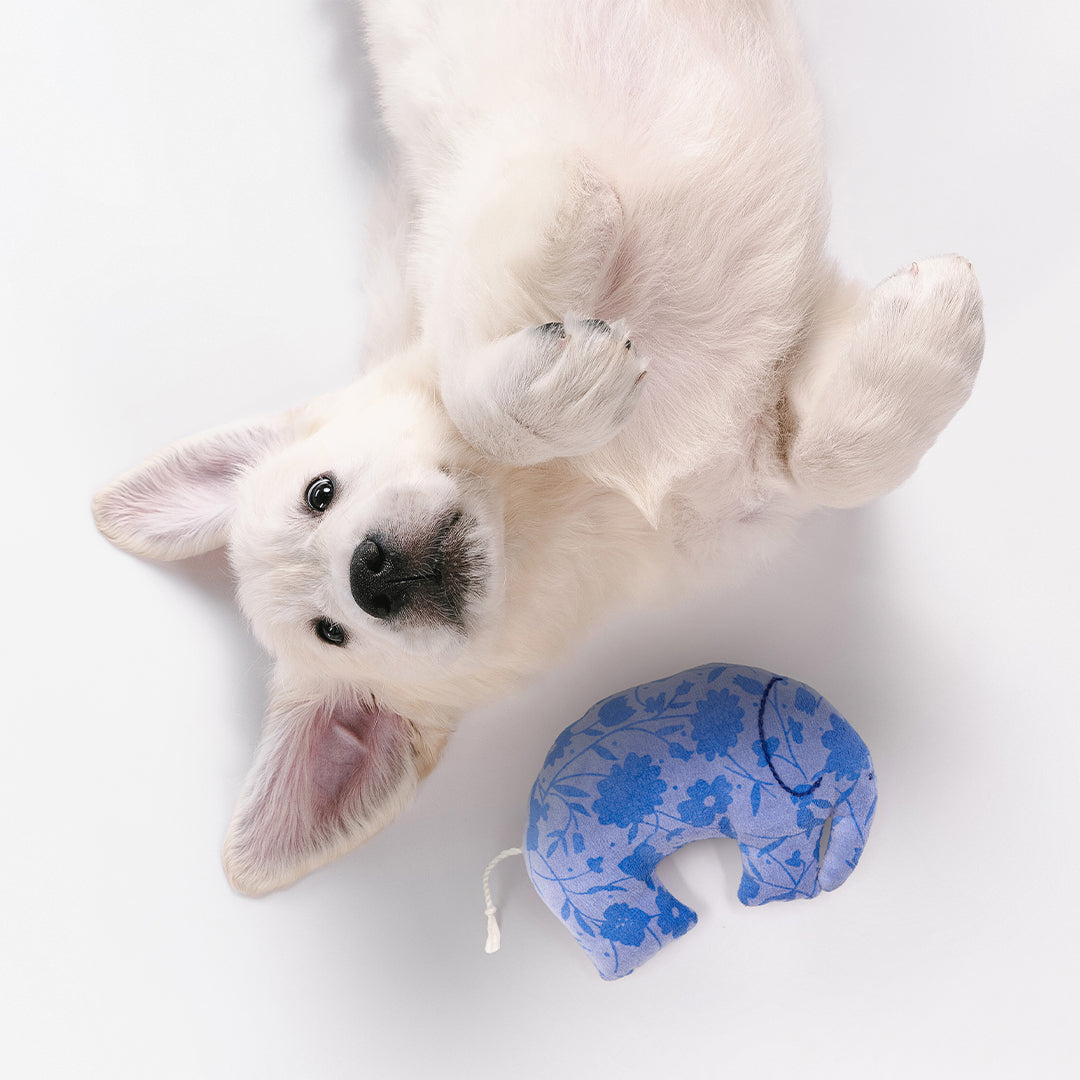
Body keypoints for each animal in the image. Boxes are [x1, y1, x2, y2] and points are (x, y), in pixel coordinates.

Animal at [95, 0, 989, 894]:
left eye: (320, 493)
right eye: (331, 633)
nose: (371, 572)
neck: (570, 491)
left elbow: (478, 352)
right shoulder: (753, 484)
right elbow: (826, 465)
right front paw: (932, 321)